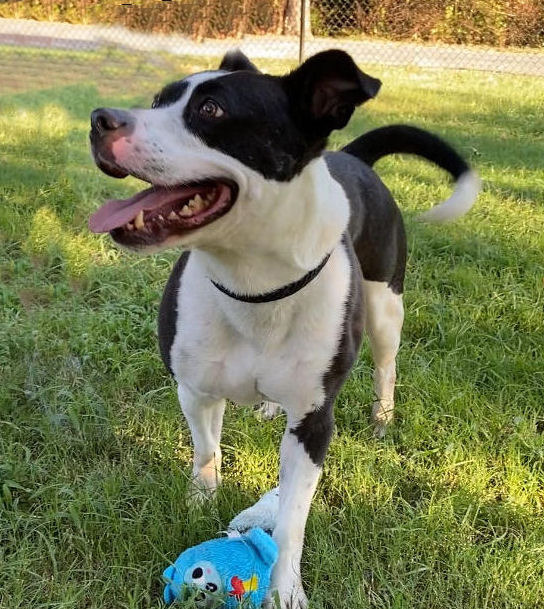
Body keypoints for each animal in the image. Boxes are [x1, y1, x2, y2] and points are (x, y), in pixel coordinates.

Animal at [88, 50, 480, 604]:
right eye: (158, 100)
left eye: (211, 109)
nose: (100, 119)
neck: (253, 284)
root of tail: (353, 156)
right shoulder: (195, 388)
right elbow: (206, 451)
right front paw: (199, 500)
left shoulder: (314, 424)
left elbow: (292, 517)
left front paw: (283, 590)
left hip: (387, 306)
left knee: (386, 364)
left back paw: (382, 416)